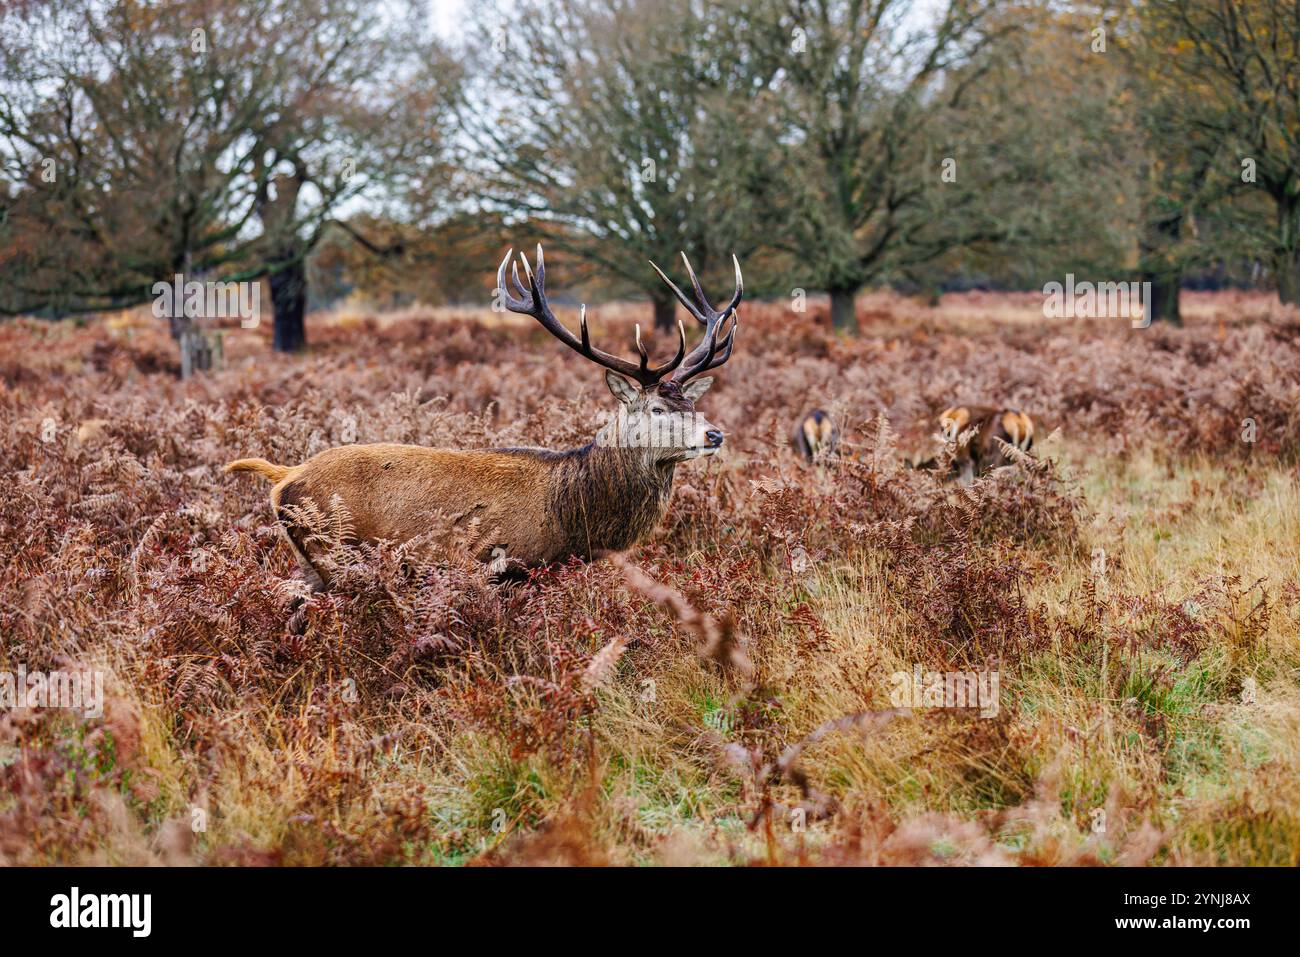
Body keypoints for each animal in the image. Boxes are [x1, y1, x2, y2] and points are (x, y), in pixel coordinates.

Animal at [225, 245, 742, 625]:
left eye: (691, 403)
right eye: (657, 407)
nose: (715, 434)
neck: (570, 512)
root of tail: (284, 477)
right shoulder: (508, 567)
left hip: (312, 562)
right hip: (331, 551)